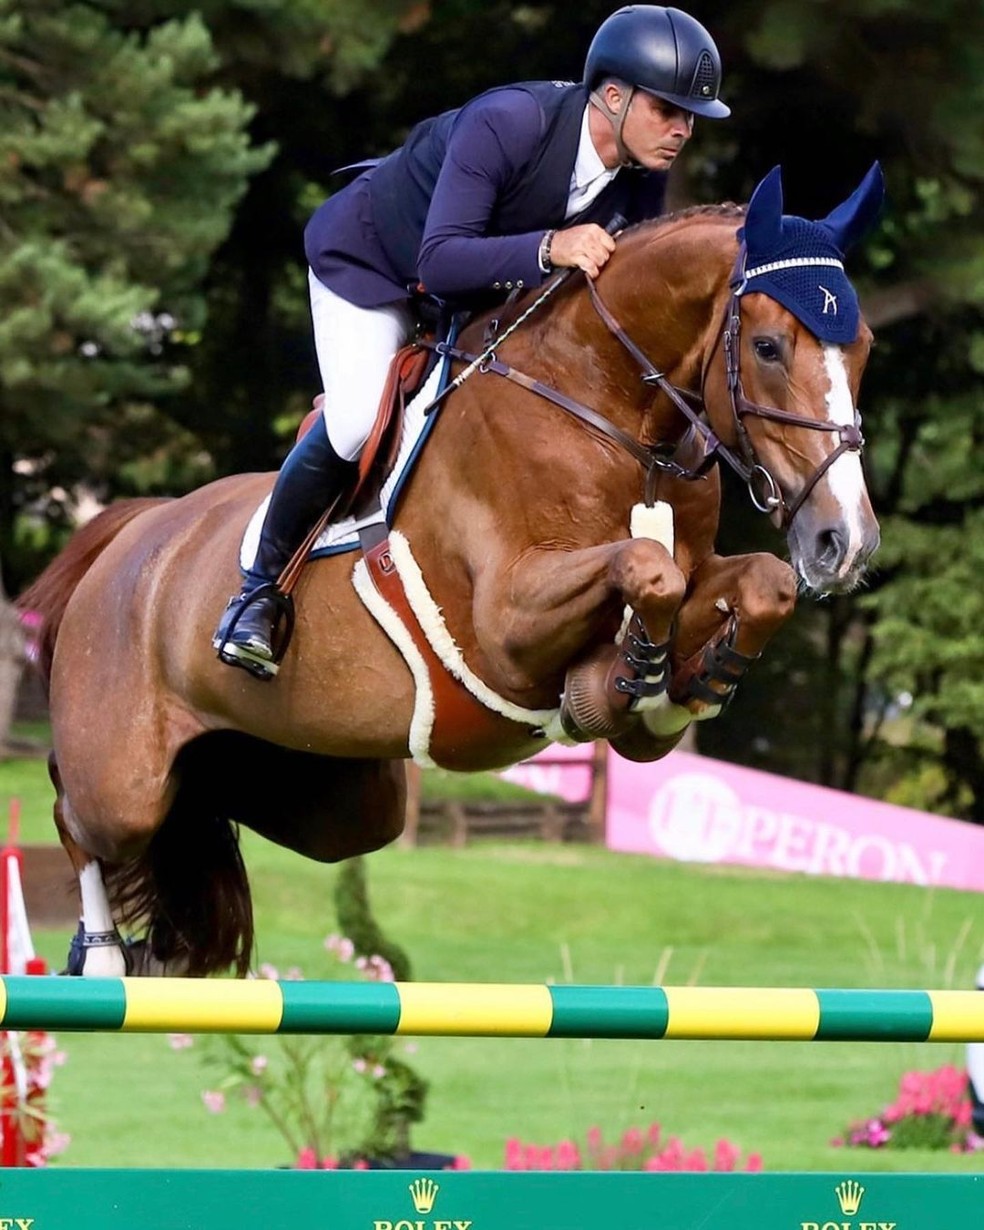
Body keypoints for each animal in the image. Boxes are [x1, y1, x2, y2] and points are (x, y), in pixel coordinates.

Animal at [19, 166, 885, 979]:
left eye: (865, 348)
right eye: (768, 347)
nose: (844, 542)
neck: (612, 414)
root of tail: (130, 532)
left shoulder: (702, 571)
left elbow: (759, 582)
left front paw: (679, 690)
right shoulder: (507, 622)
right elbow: (647, 571)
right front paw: (627, 680)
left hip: (334, 794)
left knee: (207, 802)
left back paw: (157, 940)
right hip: (122, 774)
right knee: (79, 810)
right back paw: (99, 952)